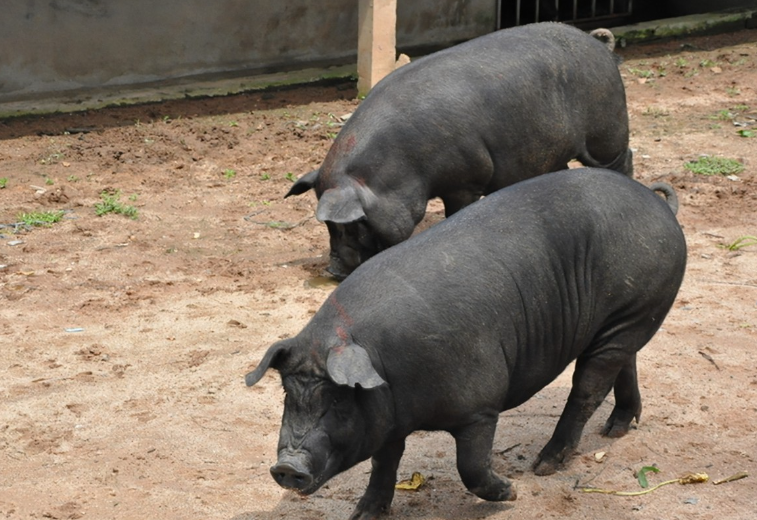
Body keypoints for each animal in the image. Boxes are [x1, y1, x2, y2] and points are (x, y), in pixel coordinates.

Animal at [284, 23, 632, 280]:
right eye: (328, 227)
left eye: (352, 224)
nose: (331, 270)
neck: (400, 169)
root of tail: (597, 43)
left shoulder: (466, 180)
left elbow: (457, 211)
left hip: (607, 128)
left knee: (621, 158)